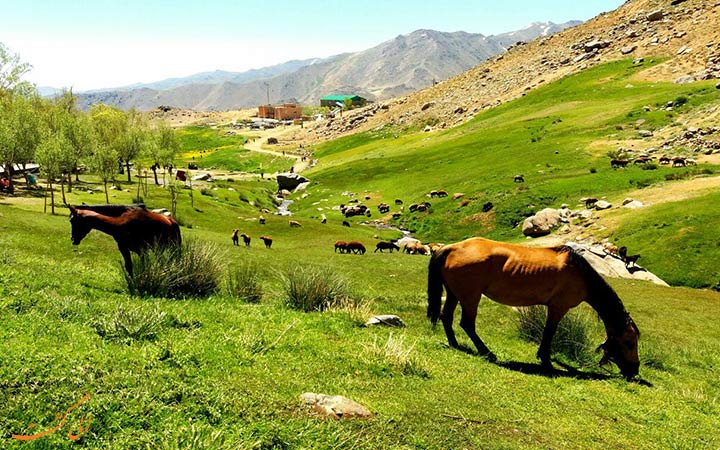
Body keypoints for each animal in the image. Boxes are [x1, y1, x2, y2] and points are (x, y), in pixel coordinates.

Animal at [428, 237, 640, 378]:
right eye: (629, 343)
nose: (634, 370)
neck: (581, 275)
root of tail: (450, 248)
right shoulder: (558, 307)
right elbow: (549, 332)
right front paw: (546, 360)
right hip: (470, 297)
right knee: (467, 324)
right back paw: (487, 352)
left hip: (454, 294)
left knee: (446, 317)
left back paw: (455, 344)